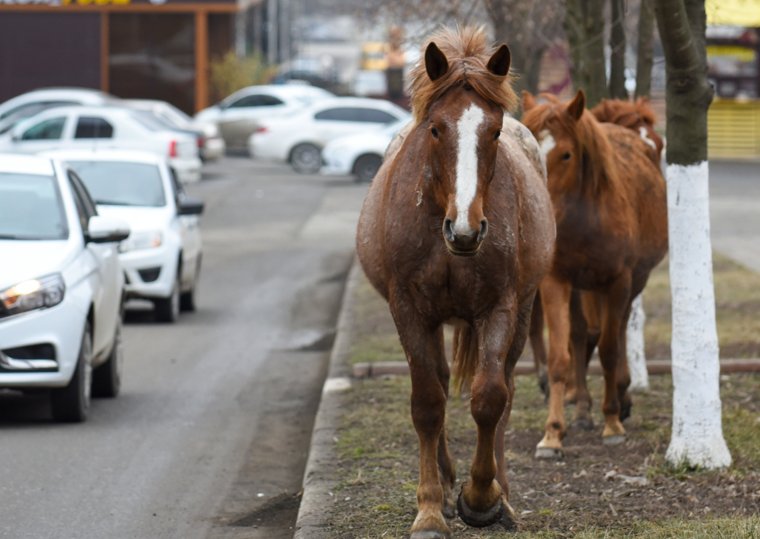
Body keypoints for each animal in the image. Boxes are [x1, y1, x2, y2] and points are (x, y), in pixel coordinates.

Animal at [356, 27, 552, 536]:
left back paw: (501, 495)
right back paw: (444, 488)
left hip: (523, 310)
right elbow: (428, 402)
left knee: (504, 387)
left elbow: (490, 398)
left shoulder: (500, 307)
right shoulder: (408, 310)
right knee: (441, 384)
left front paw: (483, 497)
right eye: (435, 128)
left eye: (495, 130)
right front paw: (429, 508)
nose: (464, 230)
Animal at [524, 90, 664, 458]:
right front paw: (553, 433)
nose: (539, 211)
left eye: (566, 154)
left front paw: (612, 421)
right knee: (579, 335)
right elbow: (561, 355)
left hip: (630, 282)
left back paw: (618, 397)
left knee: (615, 332)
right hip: (580, 288)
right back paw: (583, 406)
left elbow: (611, 349)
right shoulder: (556, 281)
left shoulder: (617, 283)